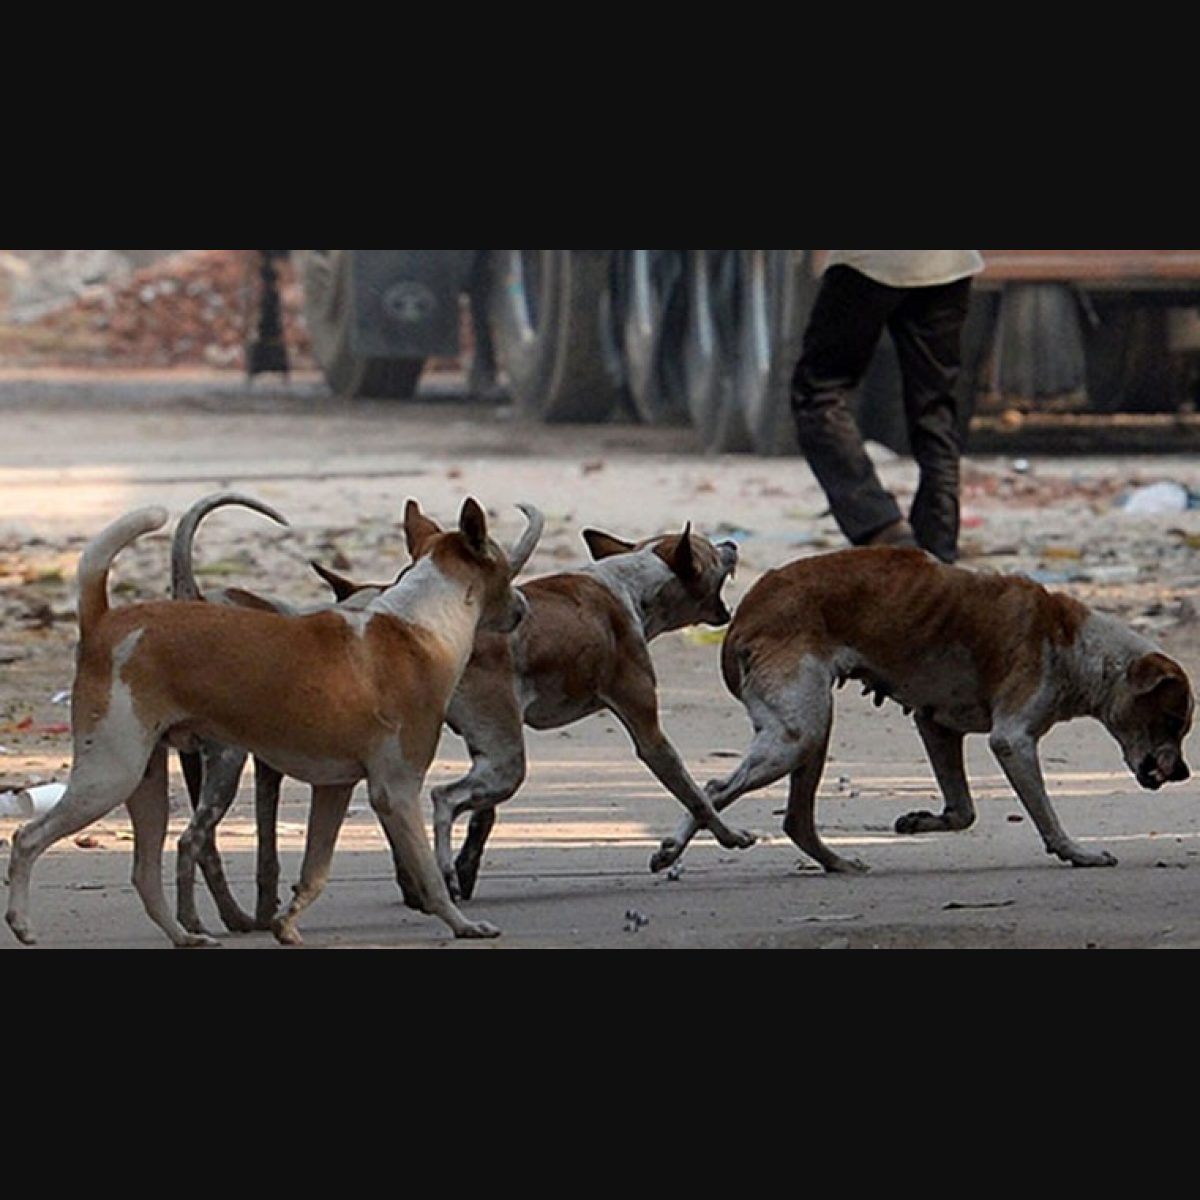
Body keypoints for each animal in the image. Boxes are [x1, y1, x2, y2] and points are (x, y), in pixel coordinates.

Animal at [3, 496, 540, 945]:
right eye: (508, 573)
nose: (524, 608)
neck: (419, 624)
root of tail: (103, 620)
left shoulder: (334, 789)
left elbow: (316, 870)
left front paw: (286, 923)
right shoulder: (396, 792)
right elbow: (431, 876)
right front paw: (462, 925)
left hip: (146, 782)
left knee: (145, 872)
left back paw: (185, 935)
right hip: (113, 775)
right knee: (27, 838)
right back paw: (23, 924)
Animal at [314, 525, 753, 902]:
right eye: (712, 551)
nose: (731, 542)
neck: (632, 581)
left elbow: (482, 818)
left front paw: (468, 866)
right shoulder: (649, 734)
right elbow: (696, 796)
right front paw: (726, 836)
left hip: (474, 752)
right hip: (506, 762)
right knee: (443, 799)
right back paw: (443, 873)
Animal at [652, 549, 1195, 878]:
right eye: (1172, 721)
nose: (1184, 774)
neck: (1078, 646)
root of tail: (746, 612)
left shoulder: (936, 726)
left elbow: (963, 811)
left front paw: (922, 821)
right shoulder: (1013, 740)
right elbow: (1044, 813)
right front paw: (1076, 852)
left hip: (810, 731)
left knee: (797, 820)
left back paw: (836, 863)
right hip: (795, 734)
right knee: (716, 789)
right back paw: (676, 847)